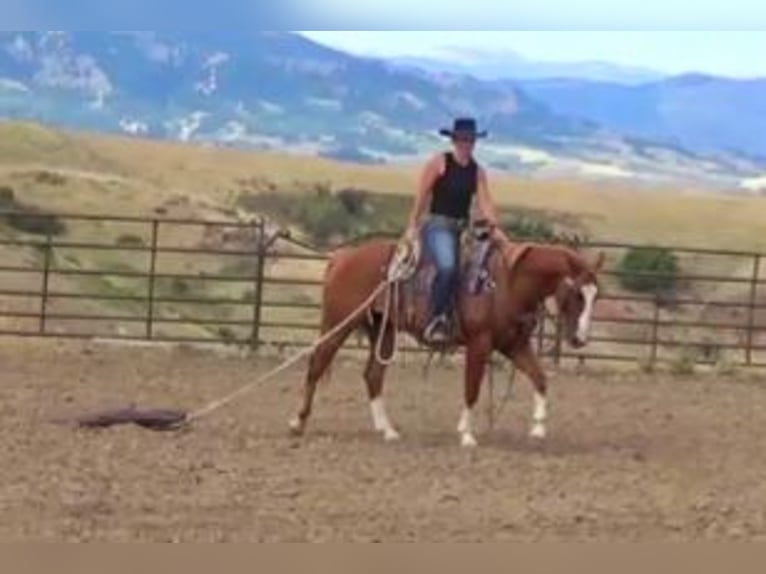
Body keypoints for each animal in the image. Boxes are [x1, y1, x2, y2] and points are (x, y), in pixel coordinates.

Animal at [290, 235, 608, 450]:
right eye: (577, 294)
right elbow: (472, 388)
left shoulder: (514, 345)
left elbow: (540, 378)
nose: (580, 339)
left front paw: (539, 429)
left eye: (596, 296)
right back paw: (298, 422)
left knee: (372, 375)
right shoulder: (480, 344)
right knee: (317, 364)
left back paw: (388, 430)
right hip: (339, 323)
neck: (508, 284)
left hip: (384, 329)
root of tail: (342, 256)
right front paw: (466, 434)